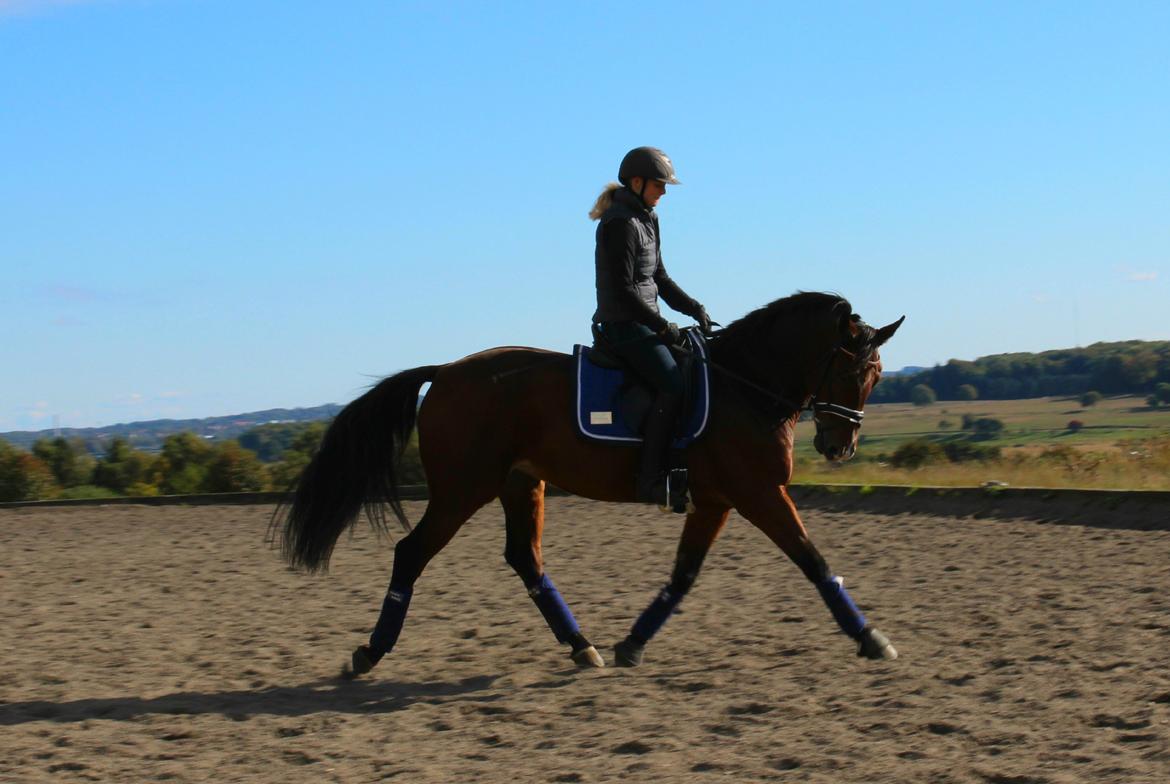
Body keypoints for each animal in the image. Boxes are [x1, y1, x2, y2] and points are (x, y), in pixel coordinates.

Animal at [273, 290, 903, 674]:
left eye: (876, 376)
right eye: (850, 370)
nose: (839, 447)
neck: (742, 387)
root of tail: (446, 372)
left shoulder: (716, 501)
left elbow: (684, 575)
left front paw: (633, 643)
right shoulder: (756, 493)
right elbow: (814, 561)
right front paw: (871, 638)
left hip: (521, 484)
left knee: (524, 559)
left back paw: (583, 646)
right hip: (462, 489)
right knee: (412, 554)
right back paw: (370, 653)